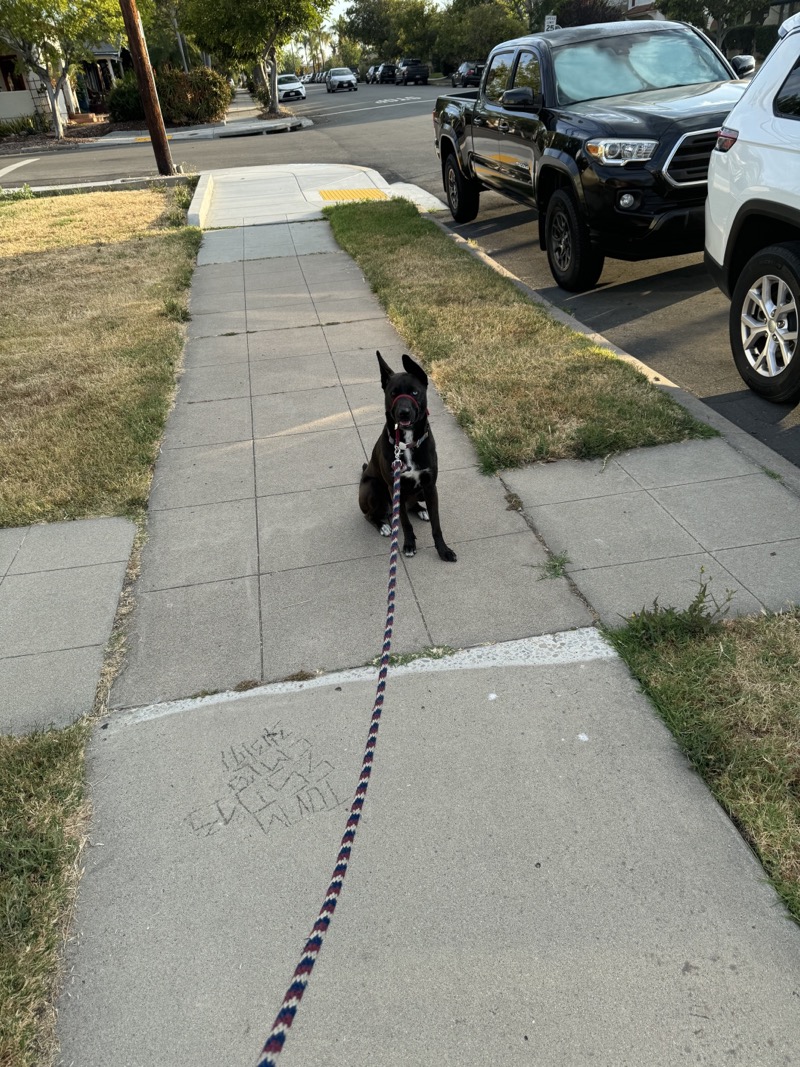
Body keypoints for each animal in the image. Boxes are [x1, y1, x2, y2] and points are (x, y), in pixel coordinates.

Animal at [362, 352, 460, 567]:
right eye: (393, 393)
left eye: (415, 392)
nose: (403, 413)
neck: (406, 444)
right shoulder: (394, 488)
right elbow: (405, 524)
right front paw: (409, 545)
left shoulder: (430, 486)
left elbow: (436, 526)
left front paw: (443, 550)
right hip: (373, 487)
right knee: (370, 515)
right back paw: (383, 526)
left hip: (420, 492)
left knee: (413, 504)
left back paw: (421, 510)